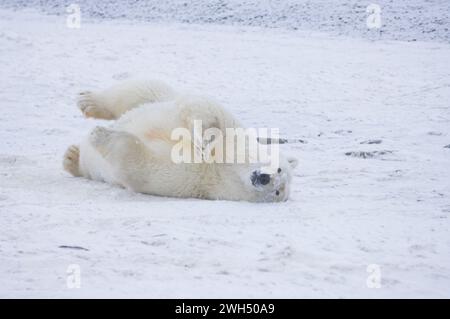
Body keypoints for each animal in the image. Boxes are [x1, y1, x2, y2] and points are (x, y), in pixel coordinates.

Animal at [61, 80, 298, 202]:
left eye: (278, 192)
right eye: (278, 169)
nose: (265, 178)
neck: (219, 165)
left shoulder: (191, 180)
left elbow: (142, 167)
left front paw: (101, 134)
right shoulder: (230, 129)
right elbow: (204, 109)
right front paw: (203, 140)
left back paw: (72, 157)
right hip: (158, 99)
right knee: (141, 91)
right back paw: (87, 100)